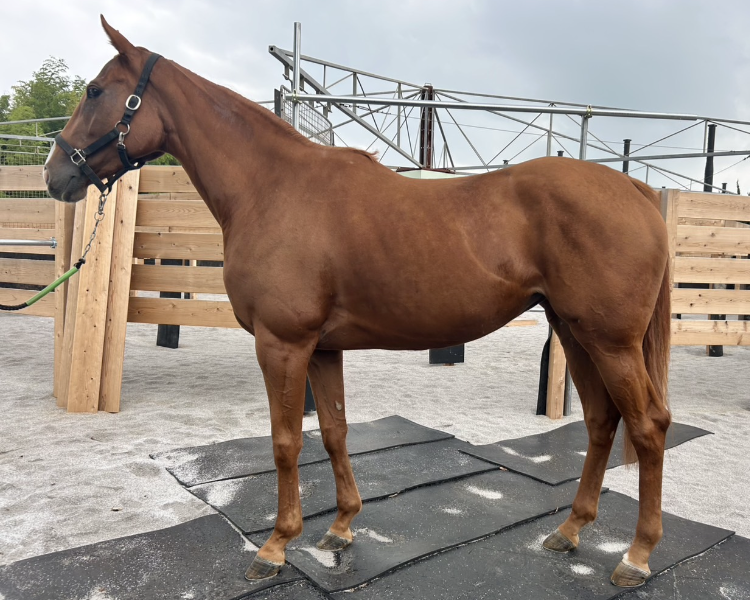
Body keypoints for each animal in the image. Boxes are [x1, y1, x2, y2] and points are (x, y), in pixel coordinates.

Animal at [44, 16, 672, 588]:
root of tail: (634, 189)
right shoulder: (322, 348)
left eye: (95, 91)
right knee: (601, 420)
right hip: (575, 332)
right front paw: (341, 527)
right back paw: (570, 531)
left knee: (647, 427)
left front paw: (276, 545)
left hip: (609, 341)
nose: (55, 176)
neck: (272, 188)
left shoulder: (283, 344)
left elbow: (286, 441)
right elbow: (335, 430)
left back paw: (636, 556)